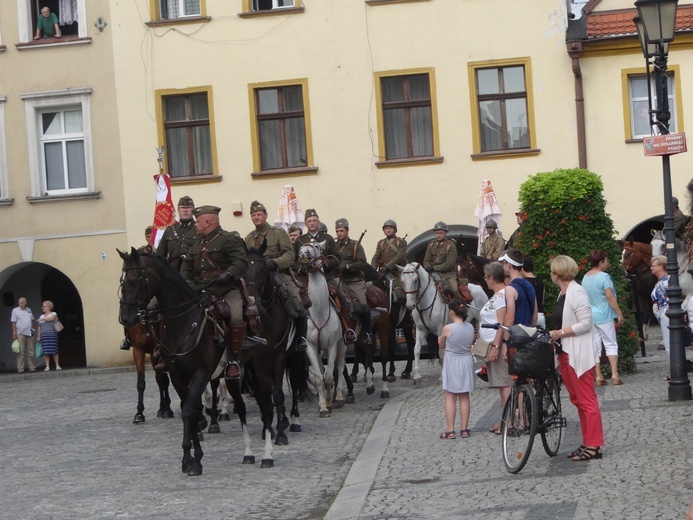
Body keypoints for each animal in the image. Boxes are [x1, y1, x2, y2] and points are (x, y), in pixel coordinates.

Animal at [117, 250, 274, 474]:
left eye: (134, 280)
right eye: (122, 282)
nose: (126, 319)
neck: (183, 322)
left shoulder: (201, 373)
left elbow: (189, 410)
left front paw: (189, 458)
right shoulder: (177, 376)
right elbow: (187, 410)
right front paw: (193, 458)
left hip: (262, 367)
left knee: (267, 406)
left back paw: (268, 455)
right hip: (235, 374)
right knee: (242, 407)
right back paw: (248, 454)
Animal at [243, 244, 308, 442]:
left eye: (263, 269)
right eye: (244, 269)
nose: (251, 299)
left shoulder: (278, 356)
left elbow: (278, 393)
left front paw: (279, 434)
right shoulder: (255, 362)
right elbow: (263, 395)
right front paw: (267, 428)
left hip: (295, 356)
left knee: (294, 384)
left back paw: (294, 420)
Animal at [298, 243, 348, 418]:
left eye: (316, 245)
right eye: (301, 246)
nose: (303, 253)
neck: (319, 314)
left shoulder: (332, 345)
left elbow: (329, 376)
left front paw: (329, 402)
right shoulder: (310, 347)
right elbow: (320, 377)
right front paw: (323, 406)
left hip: (342, 344)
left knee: (340, 366)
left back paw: (338, 397)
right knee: (321, 369)